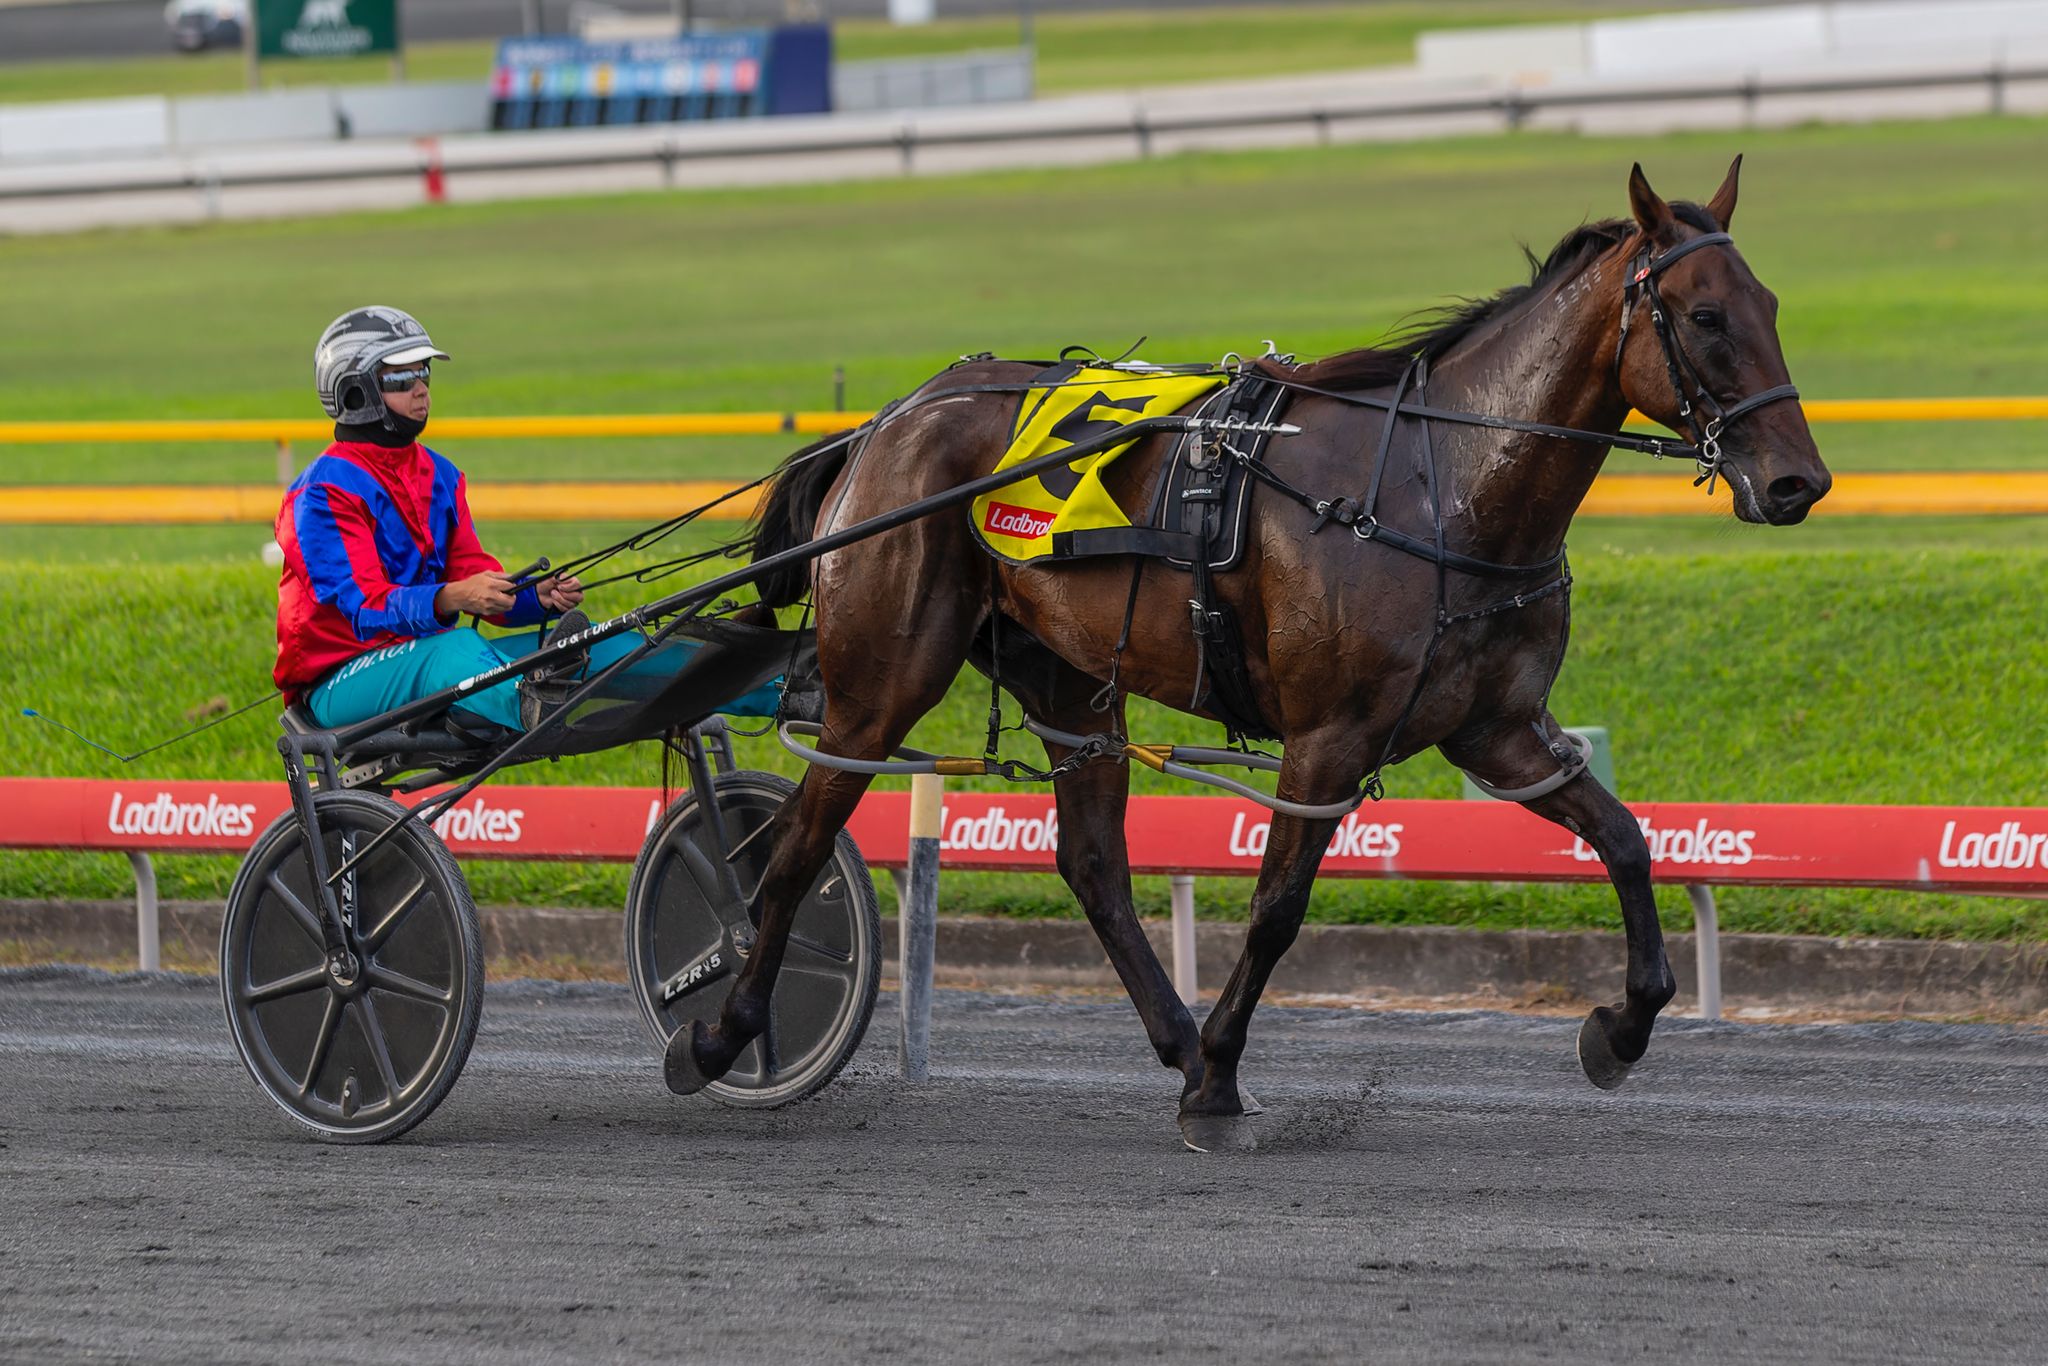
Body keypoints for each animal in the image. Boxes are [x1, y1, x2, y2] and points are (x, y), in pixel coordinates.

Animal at [663, 160, 1835, 1155]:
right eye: (1703, 316)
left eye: (1774, 306)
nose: (1798, 484)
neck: (1437, 485)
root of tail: (884, 424)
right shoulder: (1328, 738)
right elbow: (1277, 908)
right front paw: (1220, 1078)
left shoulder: (1498, 730)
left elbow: (1627, 841)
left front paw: (1619, 1027)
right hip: (882, 680)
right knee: (798, 840)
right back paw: (721, 1034)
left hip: (1070, 680)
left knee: (1093, 866)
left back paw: (1173, 1037)